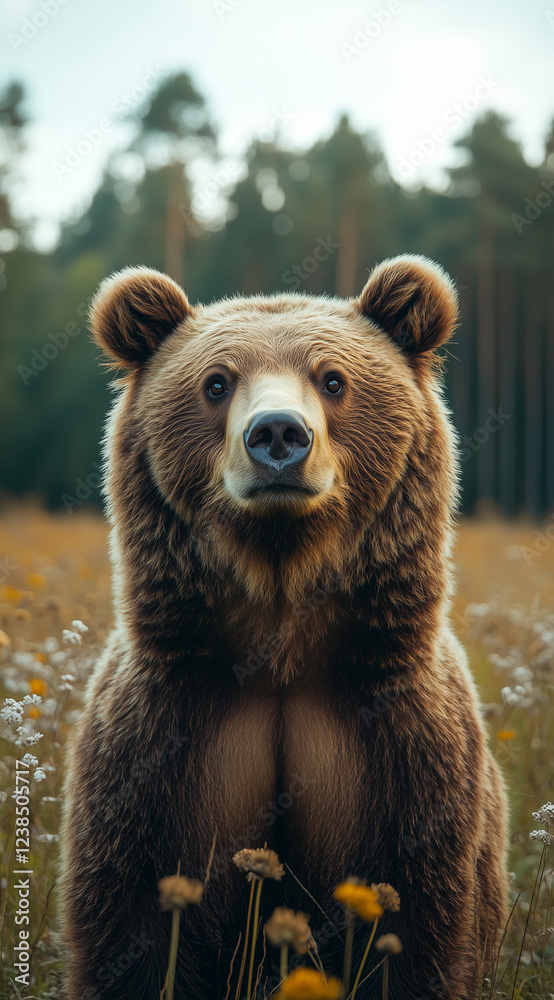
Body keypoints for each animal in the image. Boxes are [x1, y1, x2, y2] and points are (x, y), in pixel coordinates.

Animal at [59, 254, 508, 1000]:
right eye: (217, 382)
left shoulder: (403, 752)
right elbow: (133, 926)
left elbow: (417, 928)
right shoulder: (160, 747)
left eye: (333, 379)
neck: (280, 646)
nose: (276, 434)